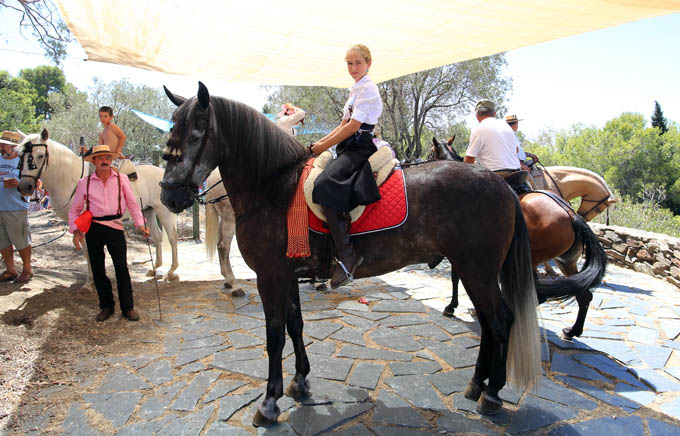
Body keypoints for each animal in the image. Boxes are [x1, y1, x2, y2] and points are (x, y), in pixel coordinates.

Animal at [16, 129, 181, 286]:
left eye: (40, 155)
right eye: (20, 155)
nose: (25, 187)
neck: (71, 178)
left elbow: (90, 252)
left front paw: (90, 282)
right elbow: (87, 251)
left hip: (163, 211)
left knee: (172, 237)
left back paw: (171, 272)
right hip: (148, 211)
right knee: (157, 236)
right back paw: (155, 268)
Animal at [159, 83, 540, 424]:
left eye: (194, 136)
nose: (169, 196)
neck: (274, 188)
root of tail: (500, 184)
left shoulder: (270, 278)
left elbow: (274, 336)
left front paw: (269, 403)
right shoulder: (287, 277)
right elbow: (295, 326)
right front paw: (300, 381)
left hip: (478, 270)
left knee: (500, 322)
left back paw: (492, 394)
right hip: (473, 270)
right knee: (489, 324)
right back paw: (476, 385)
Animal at [430, 138, 604, 338]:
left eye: (430, 153)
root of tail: (572, 215)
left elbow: (455, 277)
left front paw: (451, 307)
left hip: (532, 258)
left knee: (537, 295)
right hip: (566, 262)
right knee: (583, 294)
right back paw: (572, 330)